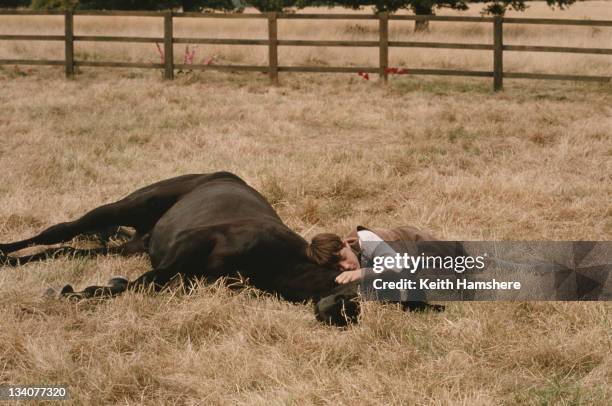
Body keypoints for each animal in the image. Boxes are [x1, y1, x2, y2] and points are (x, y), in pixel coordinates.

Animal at [1, 173, 358, 326]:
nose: (346, 317)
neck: (278, 258)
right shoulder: (191, 244)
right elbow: (145, 281)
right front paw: (75, 293)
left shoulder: (189, 276)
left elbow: (146, 283)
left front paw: (87, 290)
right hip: (126, 207)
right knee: (59, 231)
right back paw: (5, 252)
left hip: (129, 246)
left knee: (66, 251)